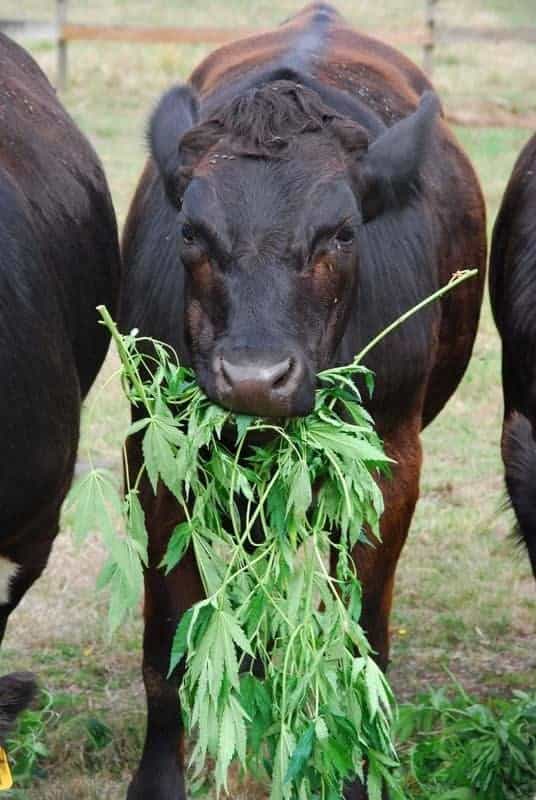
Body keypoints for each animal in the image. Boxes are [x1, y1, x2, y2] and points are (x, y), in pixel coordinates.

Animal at [119, 4, 486, 798]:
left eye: (341, 234)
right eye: (191, 231)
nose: (256, 376)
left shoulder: (391, 462)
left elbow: (363, 642)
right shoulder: (154, 452)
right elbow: (165, 650)